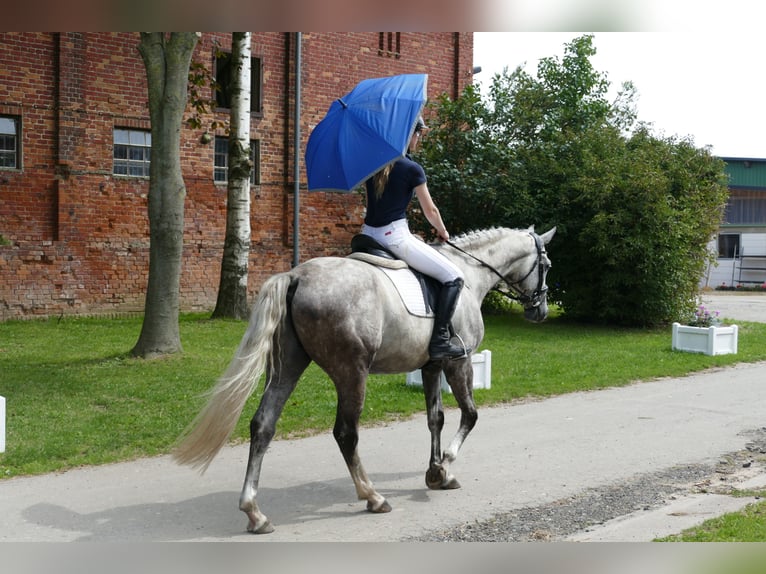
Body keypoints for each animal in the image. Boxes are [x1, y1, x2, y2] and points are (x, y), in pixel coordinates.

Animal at [174, 225, 560, 536]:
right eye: (546, 265)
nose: (540, 310)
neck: (469, 272)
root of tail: (297, 276)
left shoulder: (432, 366)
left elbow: (435, 418)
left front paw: (436, 472)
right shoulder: (458, 362)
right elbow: (470, 414)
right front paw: (446, 463)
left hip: (287, 367)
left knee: (263, 426)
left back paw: (255, 513)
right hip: (351, 372)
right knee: (346, 433)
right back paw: (373, 497)